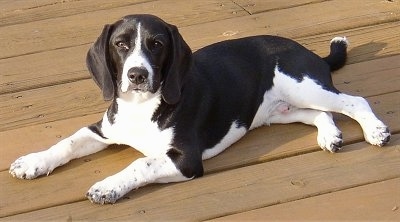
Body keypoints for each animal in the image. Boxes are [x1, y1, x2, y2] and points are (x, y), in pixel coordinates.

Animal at [9, 14, 390, 205]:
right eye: (120, 45)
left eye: (156, 44)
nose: (137, 75)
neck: (142, 106)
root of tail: (309, 52)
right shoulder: (104, 129)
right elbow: (68, 141)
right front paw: (32, 162)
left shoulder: (186, 159)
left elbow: (140, 163)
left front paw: (108, 187)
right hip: (280, 109)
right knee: (320, 113)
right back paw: (330, 136)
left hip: (302, 85)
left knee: (353, 101)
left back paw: (375, 131)